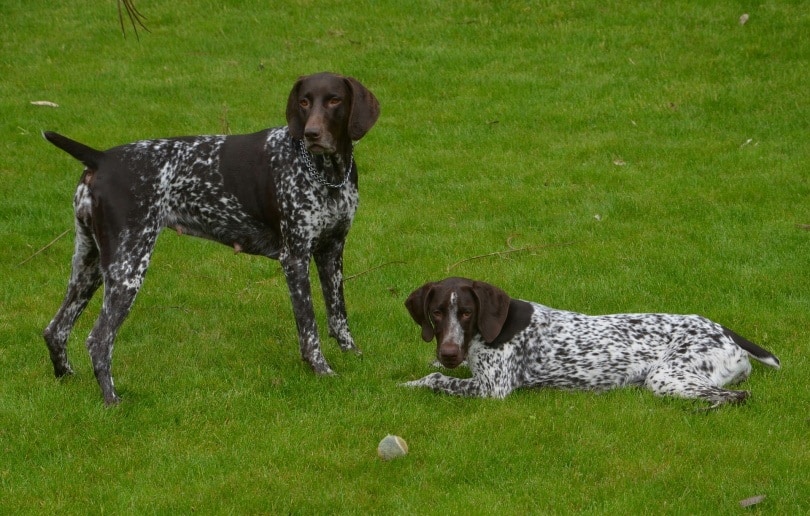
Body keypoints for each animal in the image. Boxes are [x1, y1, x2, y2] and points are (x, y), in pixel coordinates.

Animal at [39, 71, 378, 404]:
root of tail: (101, 158)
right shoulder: (295, 258)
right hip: (128, 269)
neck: (328, 175)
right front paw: (321, 369)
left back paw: (66, 377)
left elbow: (338, 314)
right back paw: (112, 400)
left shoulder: (332, 250)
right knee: (98, 340)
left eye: (334, 100)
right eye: (305, 102)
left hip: (90, 266)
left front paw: (353, 355)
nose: (311, 134)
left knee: (55, 330)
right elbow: (309, 327)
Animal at [400, 278, 780, 408]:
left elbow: (436, 379)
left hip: (667, 377)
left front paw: (411, 383)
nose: (449, 352)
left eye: (466, 312)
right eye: (436, 312)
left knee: (736, 396)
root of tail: (725, 331)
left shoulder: (491, 389)